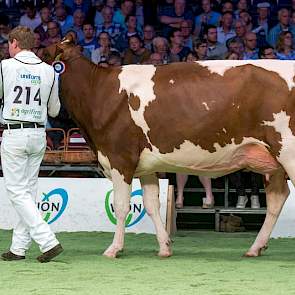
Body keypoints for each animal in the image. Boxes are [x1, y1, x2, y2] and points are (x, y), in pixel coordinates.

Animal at [43, 37, 294, 260]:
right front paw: (164, 247)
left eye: (44, 53)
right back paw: (255, 248)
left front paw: (114, 249)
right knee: (277, 199)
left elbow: (121, 206)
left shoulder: (119, 158)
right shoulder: (145, 166)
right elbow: (152, 204)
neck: (99, 92)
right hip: (274, 164)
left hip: (287, 152)